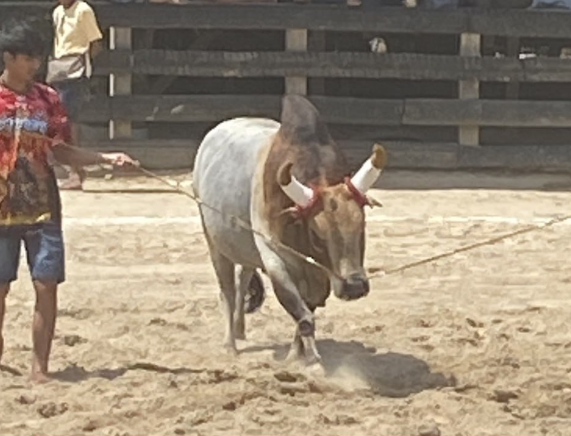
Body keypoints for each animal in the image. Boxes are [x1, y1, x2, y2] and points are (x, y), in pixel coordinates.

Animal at [192, 95, 386, 365]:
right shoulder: (273, 254)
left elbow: (306, 310)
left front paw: (297, 353)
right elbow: (301, 314)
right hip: (214, 242)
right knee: (227, 291)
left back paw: (240, 330)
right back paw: (230, 344)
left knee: (243, 278)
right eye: (316, 234)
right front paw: (308, 358)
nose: (355, 286)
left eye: (362, 224)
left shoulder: (318, 274)